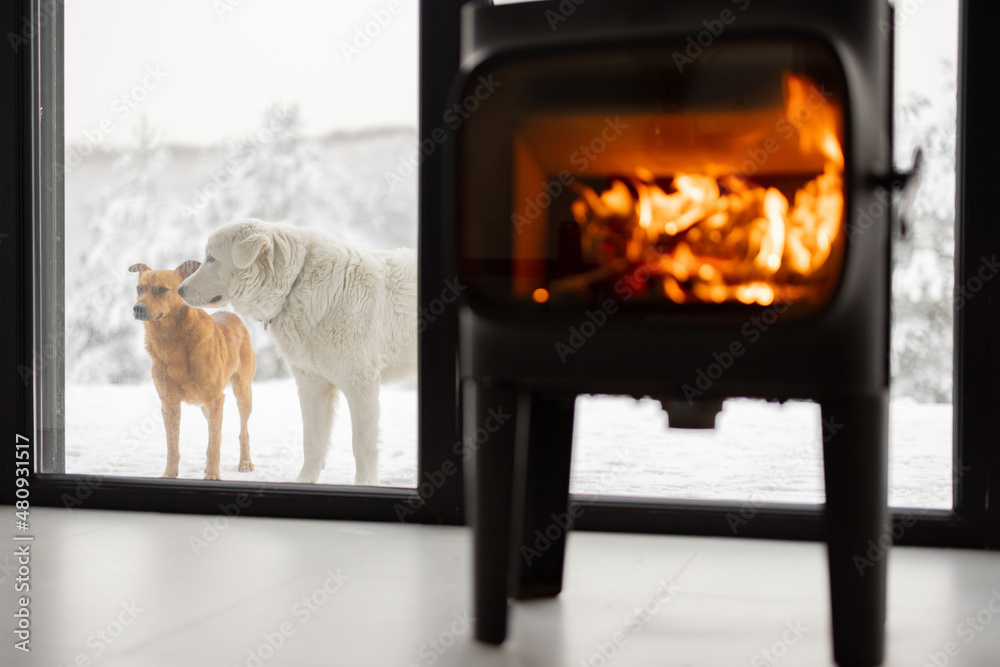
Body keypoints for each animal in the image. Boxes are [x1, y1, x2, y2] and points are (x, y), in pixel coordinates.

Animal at [131, 260, 256, 480]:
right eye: (139, 289)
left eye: (162, 290)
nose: (137, 308)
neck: (173, 342)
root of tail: (232, 315)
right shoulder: (169, 402)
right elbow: (172, 445)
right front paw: (169, 474)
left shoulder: (216, 399)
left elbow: (213, 445)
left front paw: (212, 476)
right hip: (206, 405)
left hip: (242, 391)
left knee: (242, 430)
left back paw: (245, 462)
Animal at [178, 219, 416, 486]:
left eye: (210, 258)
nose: (179, 290)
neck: (295, 286)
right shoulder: (312, 384)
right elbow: (312, 442)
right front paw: (304, 481)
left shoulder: (360, 384)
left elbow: (361, 445)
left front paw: (365, 485)